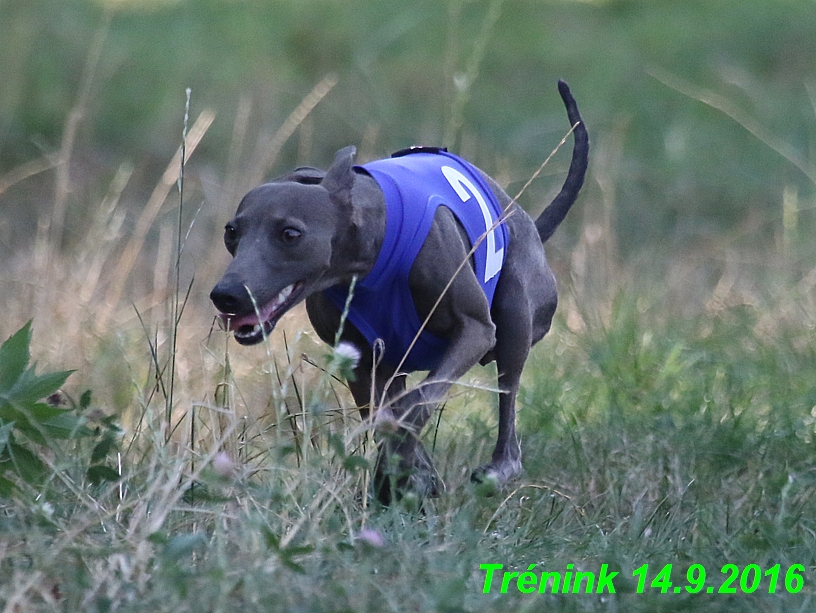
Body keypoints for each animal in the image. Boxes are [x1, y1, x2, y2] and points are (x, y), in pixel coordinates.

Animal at [212, 81, 588, 502]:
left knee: (507, 406)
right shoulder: (361, 361)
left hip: (514, 316)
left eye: (290, 233)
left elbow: (415, 407)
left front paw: (406, 472)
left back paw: (497, 468)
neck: (370, 254)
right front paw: (401, 478)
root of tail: (532, 225)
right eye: (231, 232)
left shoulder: (474, 330)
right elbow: (384, 421)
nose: (225, 295)